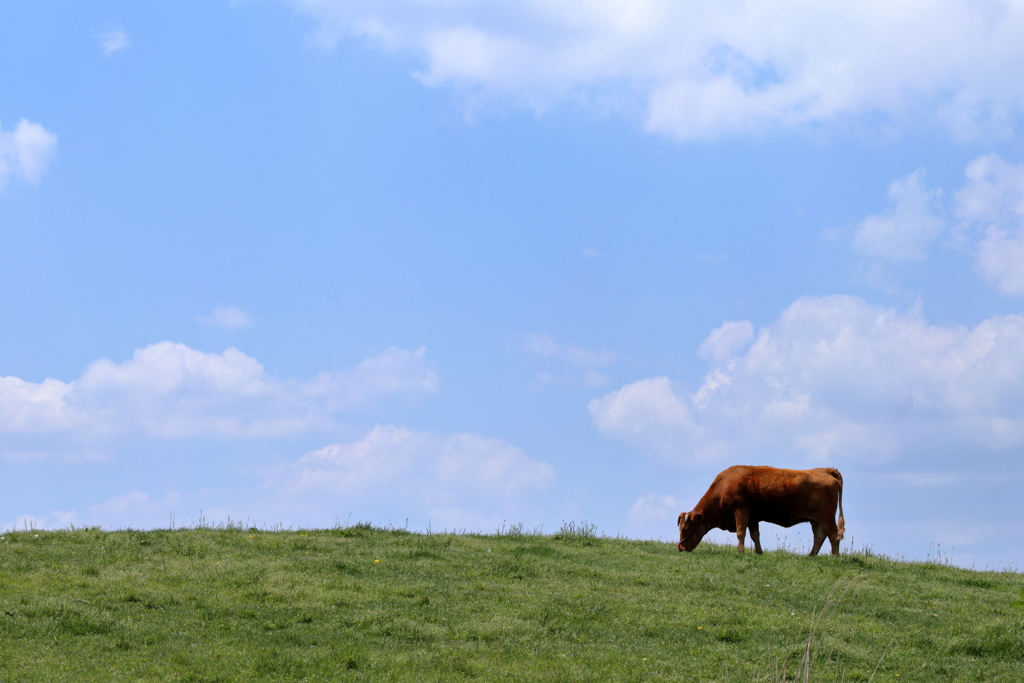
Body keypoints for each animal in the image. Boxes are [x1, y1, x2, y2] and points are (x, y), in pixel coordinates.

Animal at [675, 466, 843, 557]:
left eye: (687, 528)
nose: (680, 548)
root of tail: (826, 470)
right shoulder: (753, 518)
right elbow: (755, 535)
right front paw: (759, 553)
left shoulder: (741, 510)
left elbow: (741, 533)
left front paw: (741, 552)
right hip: (816, 521)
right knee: (819, 536)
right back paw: (811, 556)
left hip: (827, 517)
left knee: (834, 536)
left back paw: (834, 557)